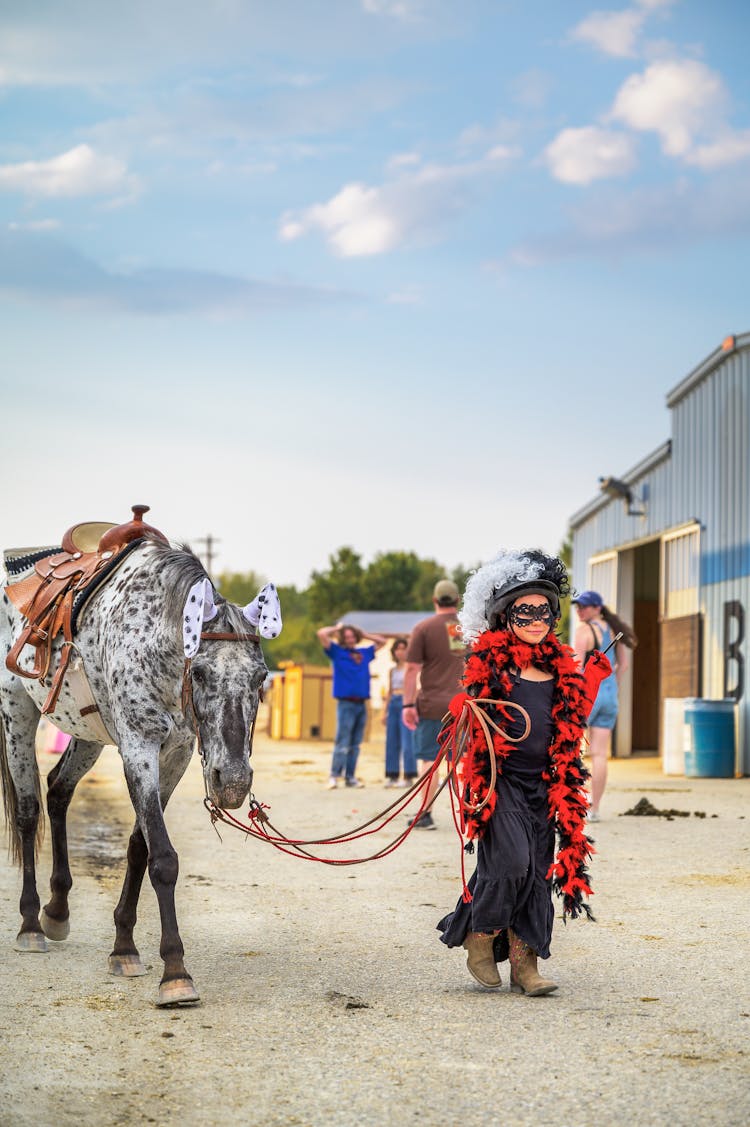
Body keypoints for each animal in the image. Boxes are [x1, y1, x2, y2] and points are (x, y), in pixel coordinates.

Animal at [0, 540, 275, 1009]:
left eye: (261, 677)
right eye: (200, 671)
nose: (234, 781)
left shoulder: (177, 755)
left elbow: (138, 848)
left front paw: (124, 947)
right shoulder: (138, 748)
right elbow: (162, 857)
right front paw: (175, 973)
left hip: (87, 732)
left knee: (57, 791)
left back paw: (57, 910)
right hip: (16, 710)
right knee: (29, 811)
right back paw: (31, 924)